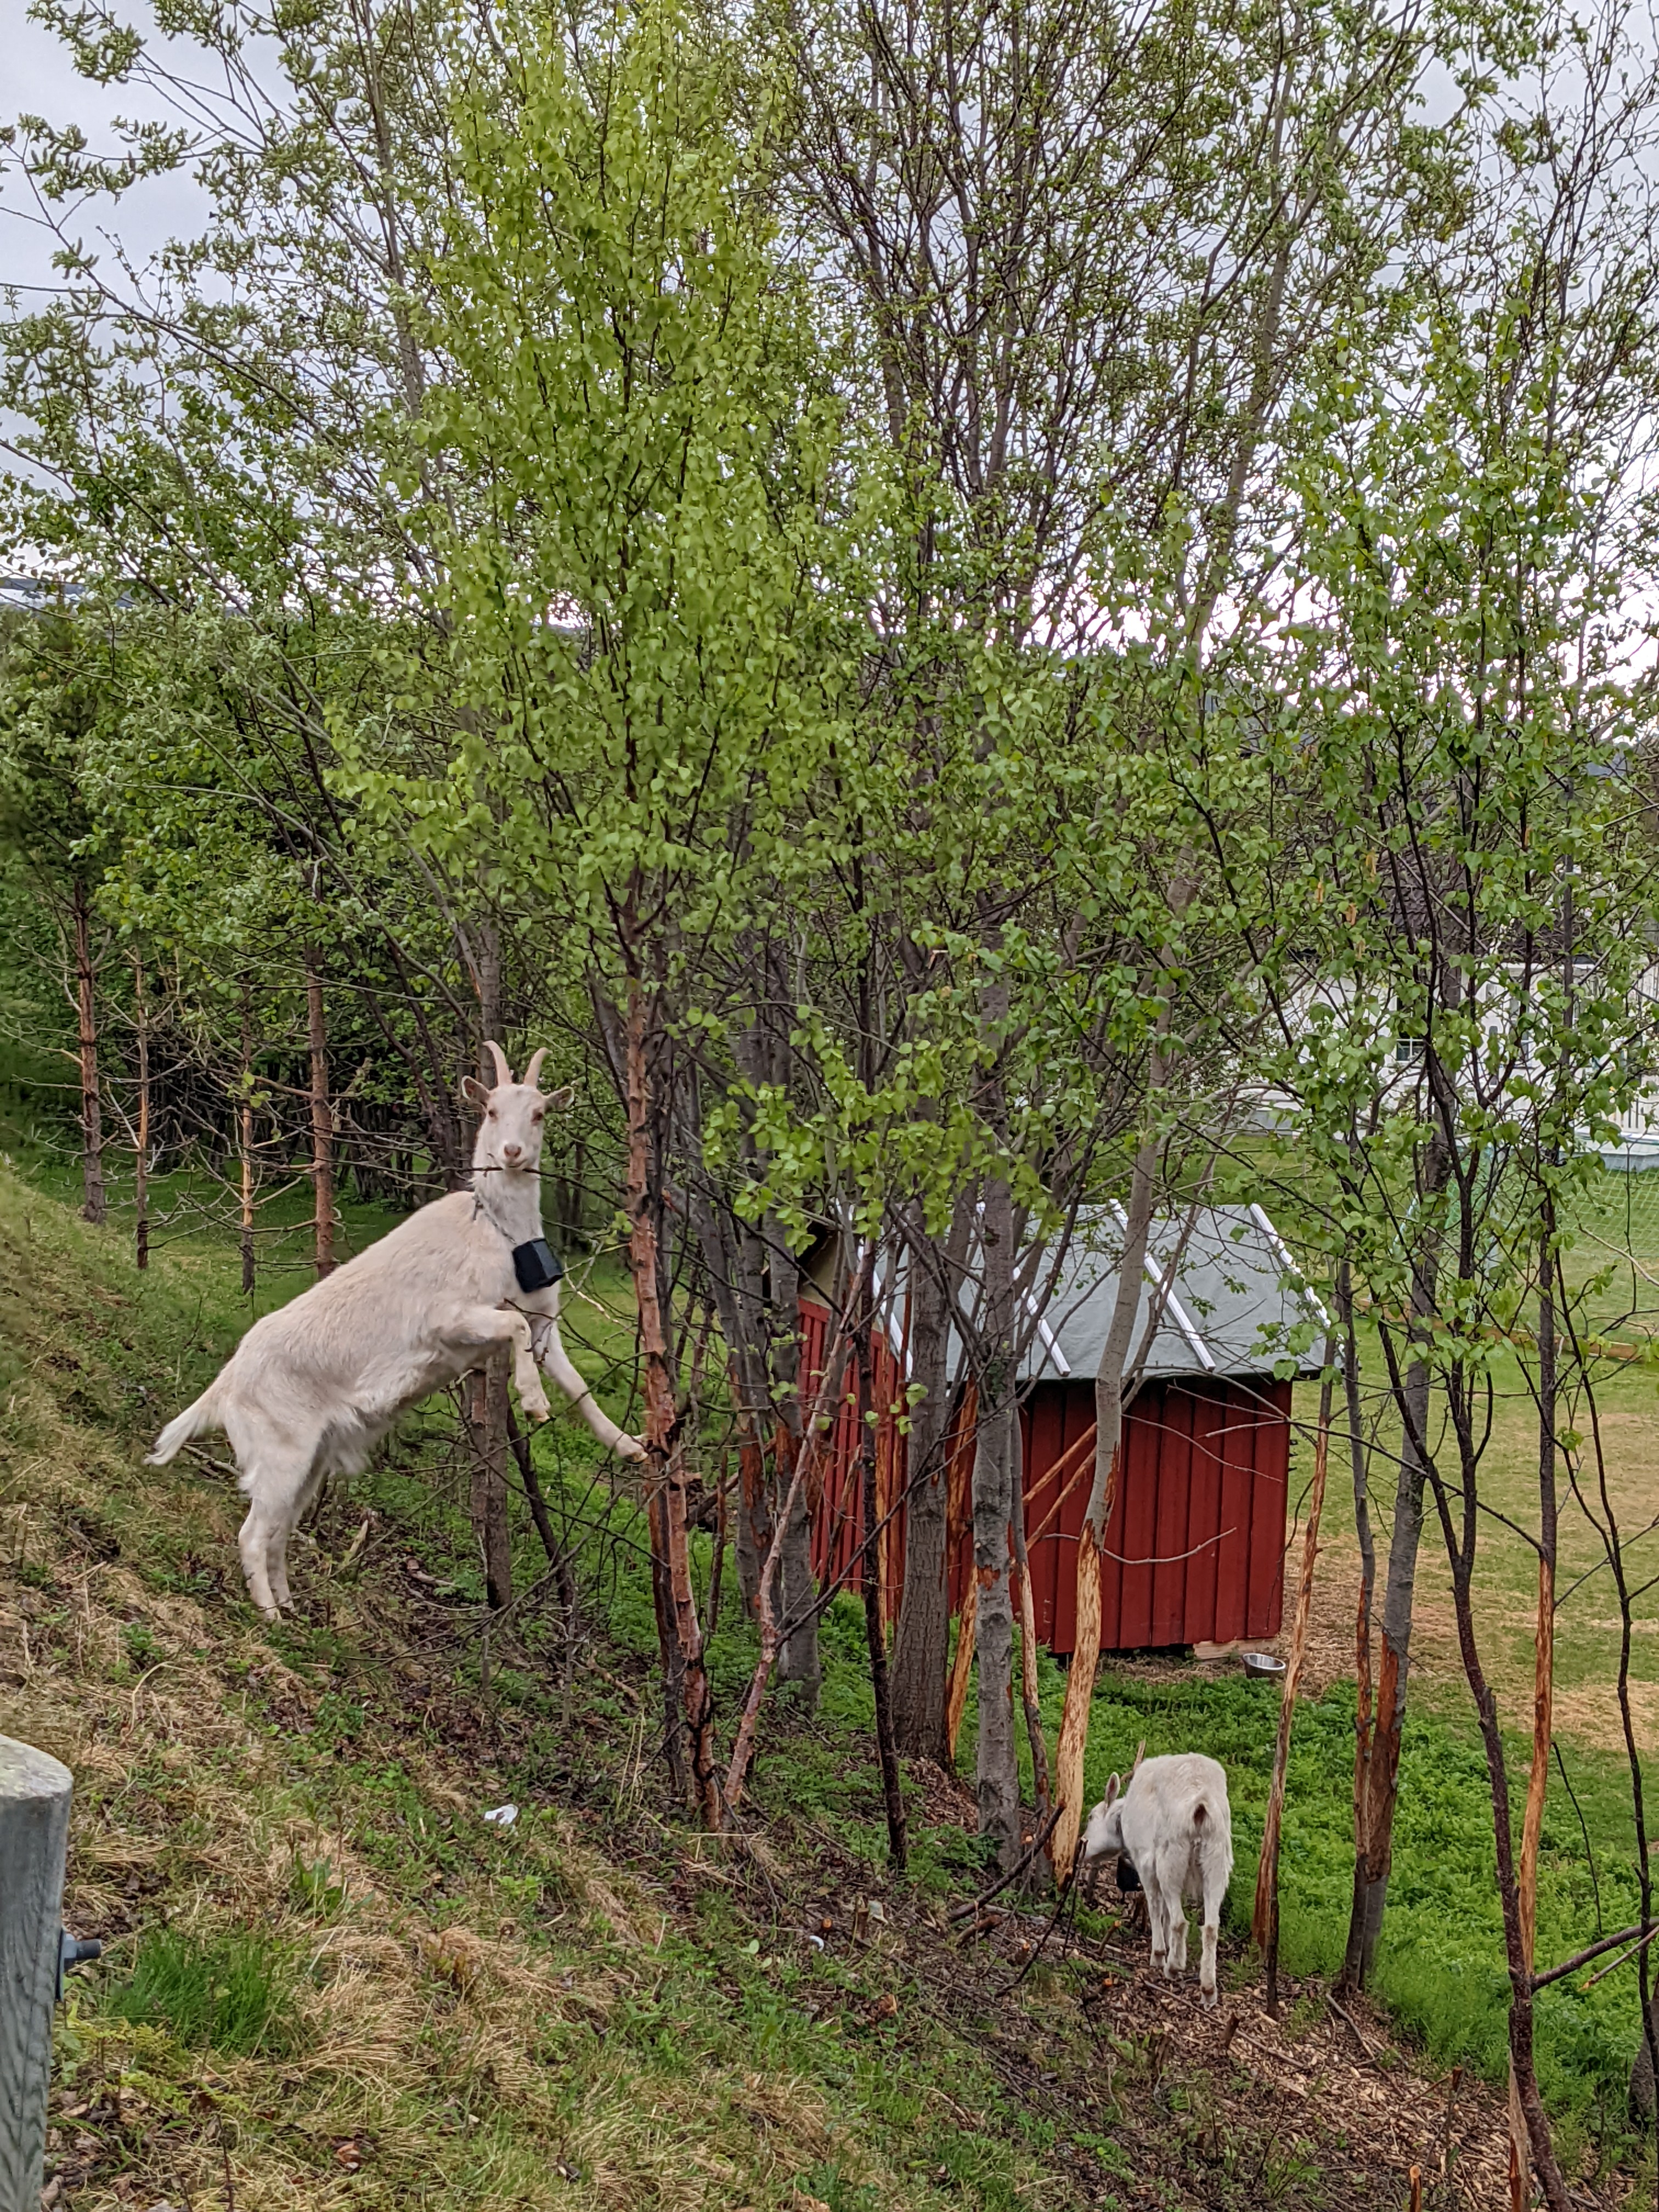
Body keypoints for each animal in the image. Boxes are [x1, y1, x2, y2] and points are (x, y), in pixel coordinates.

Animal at [148, 1044, 650, 1619]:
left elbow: (578, 1385)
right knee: (253, 1533)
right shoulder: (449, 1319)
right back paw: (271, 1616)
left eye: (540, 1112)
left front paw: (630, 1446)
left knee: (279, 1530)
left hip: (311, 1457)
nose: (512, 1151)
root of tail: (225, 1386)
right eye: (492, 1110)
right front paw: (532, 1401)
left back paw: (291, 1606)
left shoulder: (547, 1319)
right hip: (279, 1448)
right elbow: (514, 1325)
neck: (497, 1232)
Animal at [1079, 1752, 1238, 2017]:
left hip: (1170, 1857)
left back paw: (1172, 1966)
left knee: (1180, 1920)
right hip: (1218, 1860)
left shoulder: (1146, 1862)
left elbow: (1155, 1906)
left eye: (1091, 1817)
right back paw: (1208, 1989)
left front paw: (1160, 1953)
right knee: (1210, 1927)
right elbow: (1164, 1910)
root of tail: (1201, 1805)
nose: (1081, 1847)